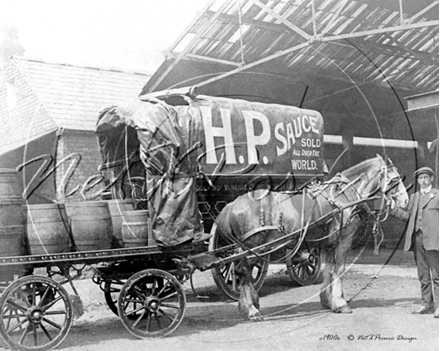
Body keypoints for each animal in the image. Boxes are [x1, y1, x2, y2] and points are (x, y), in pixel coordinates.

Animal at [215, 155, 410, 320]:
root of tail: (232, 204)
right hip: (252, 248)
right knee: (243, 272)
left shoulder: (330, 243)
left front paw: (328, 300)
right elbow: (339, 270)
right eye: (395, 179)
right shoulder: (343, 241)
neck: (343, 195)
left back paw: (250, 304)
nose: (406, 201)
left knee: (242, 272)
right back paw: (251, 309)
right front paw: (340, 303)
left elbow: (329, 270)